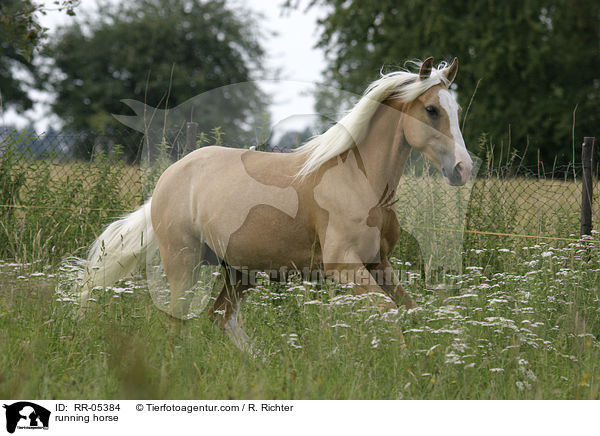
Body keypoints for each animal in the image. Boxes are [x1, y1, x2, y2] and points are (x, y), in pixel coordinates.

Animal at [77, 58, 474, 350]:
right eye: (431, 109)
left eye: (456, 111)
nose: (463, 169)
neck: (360, 181)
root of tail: (170, 176)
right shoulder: (344, 265)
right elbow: (391, 314)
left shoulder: (379, 263)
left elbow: (411, 312)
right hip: (183, 262)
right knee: (177, 319)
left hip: (240, 271)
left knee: (220, 317)